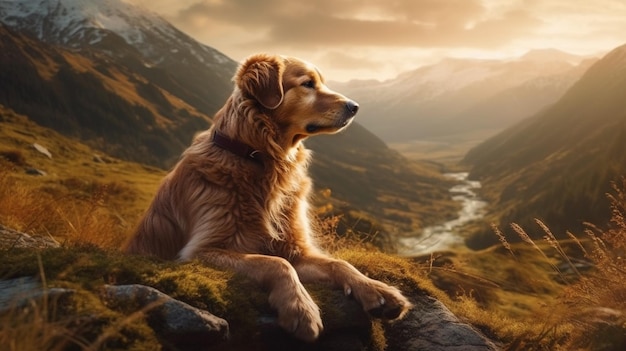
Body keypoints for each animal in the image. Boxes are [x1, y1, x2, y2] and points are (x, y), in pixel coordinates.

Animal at [125, 53, 412, 342]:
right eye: (307, 84)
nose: (355, 107)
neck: (262, 160)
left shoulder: (296, 249)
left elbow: (338, 263)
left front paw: (377, 290)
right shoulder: (201, 251)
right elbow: (277, 263)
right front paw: (300, 309)